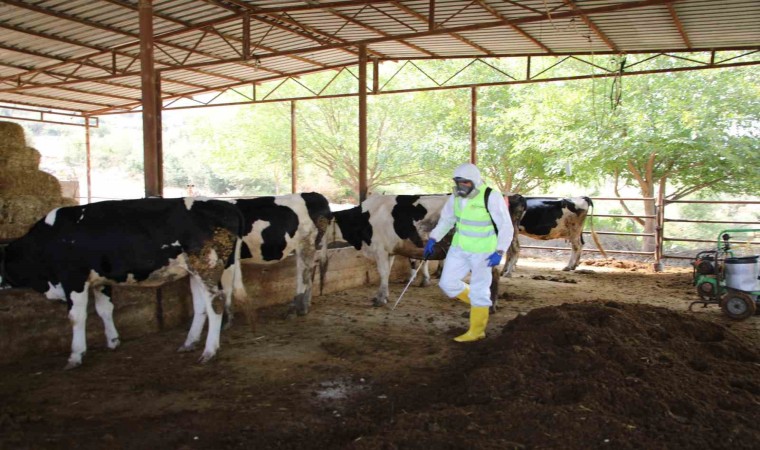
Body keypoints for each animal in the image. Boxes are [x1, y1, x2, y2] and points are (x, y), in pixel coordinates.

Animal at [0, 200, 243, 370]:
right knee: (201, 307)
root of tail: (224, 205)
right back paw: (189, 343)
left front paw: (76, 355)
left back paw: (209, 351)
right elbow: (104, 309)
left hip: (206, 267)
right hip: (193, 272)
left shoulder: (74, 279)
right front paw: (113, 340)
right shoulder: (99, 281)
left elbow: (76, 317)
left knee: (216, 304)